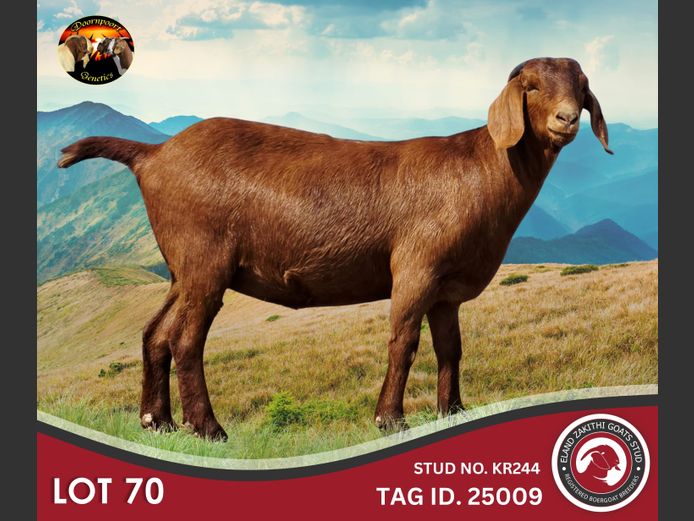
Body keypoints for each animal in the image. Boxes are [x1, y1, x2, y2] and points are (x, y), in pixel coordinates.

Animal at [57, 57, 611, 440]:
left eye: (581, 87)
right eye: (532, 86)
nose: (566, 119)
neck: (481, 169)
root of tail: (153, 155)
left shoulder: (447, 290)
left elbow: (450, 348)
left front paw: (453, 412)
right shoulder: (416, 268)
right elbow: (403, 342)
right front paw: (390, 419)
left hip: (183, 268)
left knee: (155, 333)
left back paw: (158, 422)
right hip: (205, 261)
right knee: (186, 340)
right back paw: (209, 429)